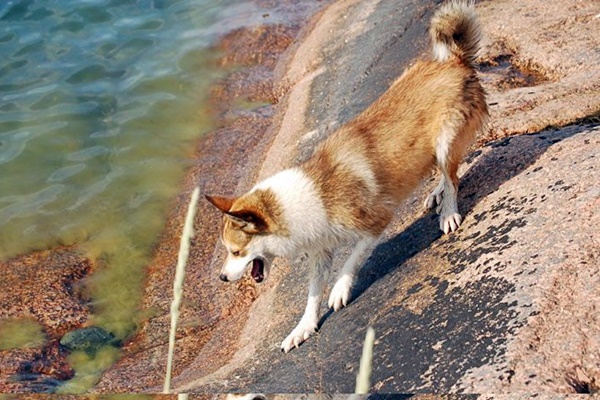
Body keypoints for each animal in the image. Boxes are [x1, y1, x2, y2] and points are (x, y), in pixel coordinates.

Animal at [206, 1, 488, 354]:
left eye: (235, 252)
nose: (221, 278)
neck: (301, 199)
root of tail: (453, 62)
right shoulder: (320, 252)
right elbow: (312, 296)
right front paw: (302, 328)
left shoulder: (376, 222)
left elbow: (351, 259)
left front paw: (340, 288)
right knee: (444, 173)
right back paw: (436, 193)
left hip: (446, 139)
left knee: (453, 178)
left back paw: (448, 210)